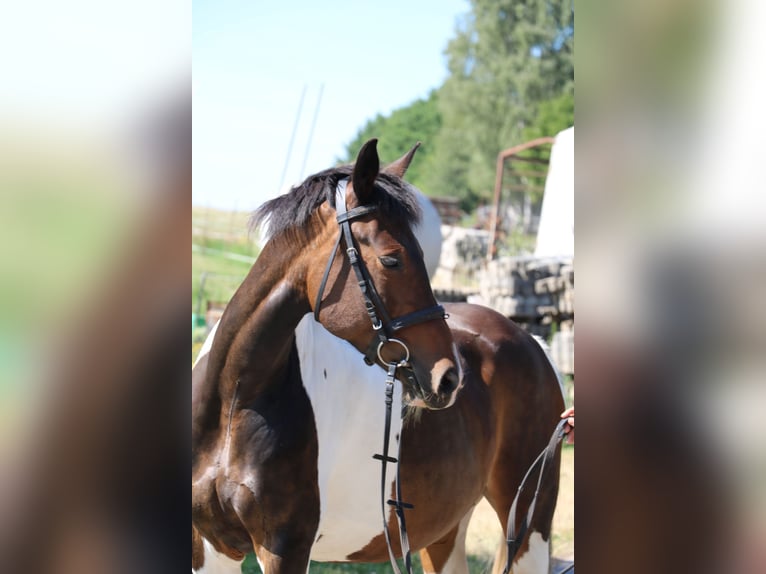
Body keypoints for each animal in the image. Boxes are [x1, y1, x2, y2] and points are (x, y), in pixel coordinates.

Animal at [192, 139, 565, 574]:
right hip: (445, 530)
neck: (235, 402)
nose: (449, 377)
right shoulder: (211, 547)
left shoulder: (284, 548)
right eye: (392, 259)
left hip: (528, 525)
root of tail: (534, 343)